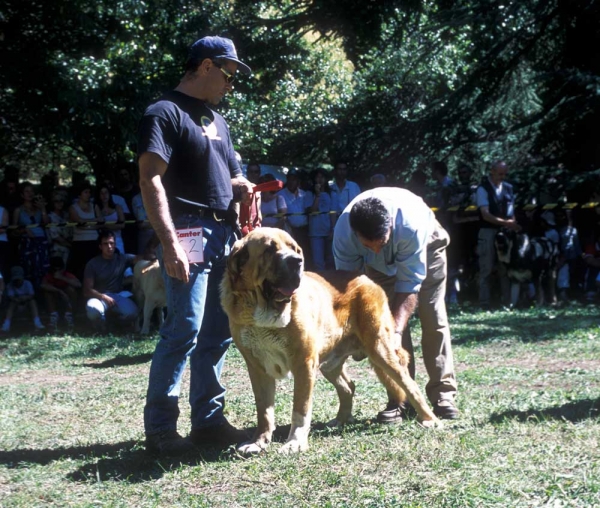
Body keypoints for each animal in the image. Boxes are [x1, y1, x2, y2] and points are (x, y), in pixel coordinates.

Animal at [220, 228, 436, 454]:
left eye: (294, 249)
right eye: (269, 250)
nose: (297, 261)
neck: (265, 313)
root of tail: (366, 278)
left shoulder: (303, 363)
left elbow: (300, 409)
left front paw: (295, 442)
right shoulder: (257, 367)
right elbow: (264, 410)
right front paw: (258, 441)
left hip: (380, 349)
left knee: (408, 383)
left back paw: (430, 419)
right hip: (330, 363)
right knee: (348, 386)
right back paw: (341, 420)